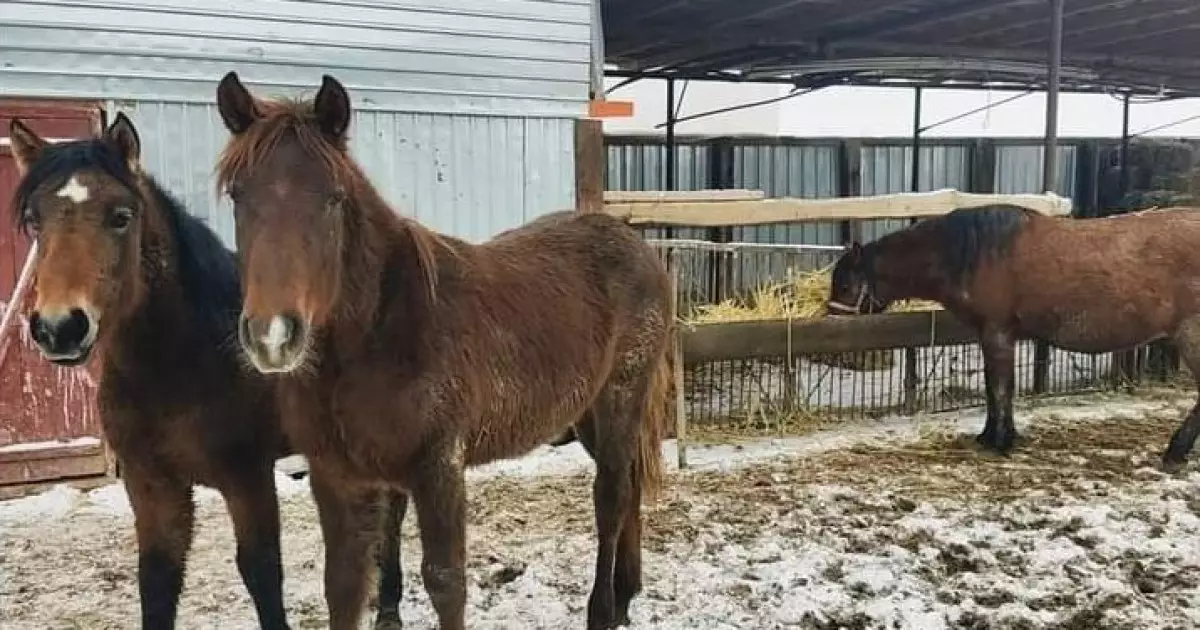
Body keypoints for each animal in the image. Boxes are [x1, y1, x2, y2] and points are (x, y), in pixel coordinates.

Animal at [5, 114, 408, 628]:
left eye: (121, 216)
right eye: (34, 220)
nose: (60, 327)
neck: (180, 366)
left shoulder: (247, 477)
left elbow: (261, 572)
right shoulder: (152, 484)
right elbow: (157, 580)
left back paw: (389, 608)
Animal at [211, 71, 672, 628]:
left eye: (333, 198)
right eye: (238, 195)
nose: (274, 335)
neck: (379, 336)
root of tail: (637, 244)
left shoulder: (440, 468)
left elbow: (446, 583)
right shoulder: (337, 476)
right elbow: (343, 585)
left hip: (621, 395)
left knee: (612, 494)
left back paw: (603, 608)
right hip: (586, 413)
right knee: (629, 486)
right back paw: (626, 596)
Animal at [830, 204, 1200, 468]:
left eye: (845, 285)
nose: (834, 326)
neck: (975, 253)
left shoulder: (998, 333)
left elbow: (1000, 388)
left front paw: (1000, 441)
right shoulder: (989, 335)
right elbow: (993, 389)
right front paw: (989, 436)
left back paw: (1175, 451)